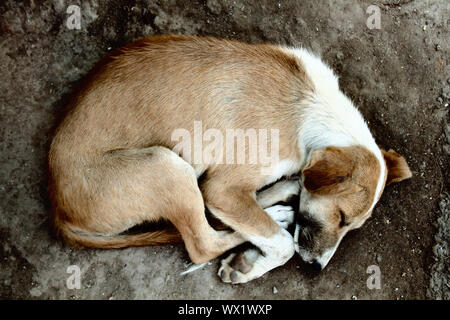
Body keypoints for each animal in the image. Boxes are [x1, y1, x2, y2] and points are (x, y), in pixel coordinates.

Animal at [48, 35, 412, 284]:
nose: (315, 268)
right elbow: (284, 247)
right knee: (203, 243)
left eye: (351, 226)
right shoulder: (222, 189)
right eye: (340, 217)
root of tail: (58, 211)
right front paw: (250, 266)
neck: (311, 111)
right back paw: (275, 214)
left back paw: (282, 199)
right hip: (165, 165)